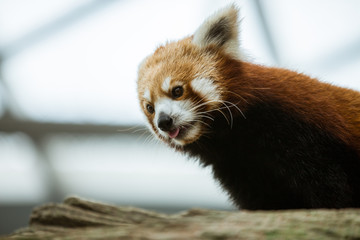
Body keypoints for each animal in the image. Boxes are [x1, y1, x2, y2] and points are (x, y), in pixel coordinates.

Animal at [136, 4, 360, 209]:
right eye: (150, 108)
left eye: (177, 91)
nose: (164, 122)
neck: (234, 138)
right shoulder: (239, 169)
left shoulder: (302, 135)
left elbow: (329, 187)